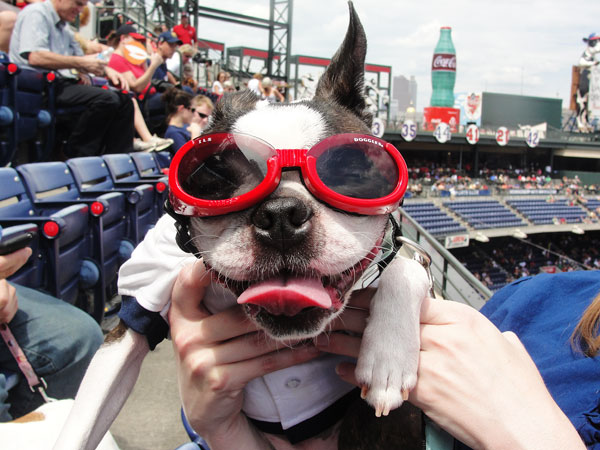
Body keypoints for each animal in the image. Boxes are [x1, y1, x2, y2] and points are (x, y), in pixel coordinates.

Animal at [54, 2, 428, 446]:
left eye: (352, 173)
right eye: (214, 176)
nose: (281, 214)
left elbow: (406, 265)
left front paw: (388, 354)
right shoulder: (135, 312)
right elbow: (82, 422)